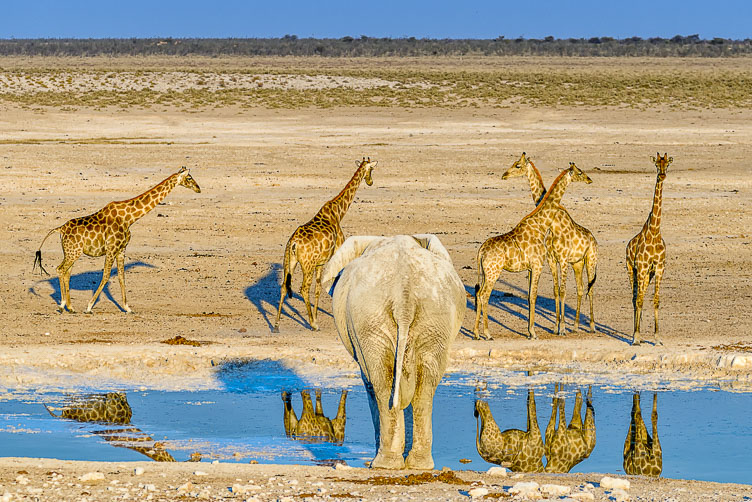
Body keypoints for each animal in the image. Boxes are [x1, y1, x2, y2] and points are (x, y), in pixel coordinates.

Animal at [33, 167, 201, 314]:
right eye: (189, 178)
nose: (198, 188)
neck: (129, 218)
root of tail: (60, 229)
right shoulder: (112, 248)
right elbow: (106, 276)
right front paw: (89, 307)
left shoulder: (121, 249)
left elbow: (121, 277)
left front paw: (127, 308)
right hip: (73, 252)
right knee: (60, 270)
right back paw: (62, 306)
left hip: (72, 252)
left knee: (66, 273)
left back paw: (70, 307)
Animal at [272, 158, 376, 332]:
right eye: (371, 170)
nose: (370, 181)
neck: (339, 212)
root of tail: (293, 244)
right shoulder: (339, 251)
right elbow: (335, 280)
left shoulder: (320, 263)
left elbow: (319, 288)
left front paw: (316, 316)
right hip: (306, 265)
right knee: (303, 288)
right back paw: (312, 325)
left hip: (289, 261)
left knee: (283, 287)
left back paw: (276, 325)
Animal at [321, 234, 466, 470]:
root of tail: (403, 295)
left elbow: (371, 383)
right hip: (433, 315)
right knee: (423, 386)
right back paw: (418, 465)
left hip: (371, 317)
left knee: (381, 382)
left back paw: (382, 464)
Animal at [473, 163, 592, 340]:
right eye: (579, 172)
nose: (589, 179)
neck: (541, 224)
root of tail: (481, 250)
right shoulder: (537, 265)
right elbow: (534, 295)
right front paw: (534, 332)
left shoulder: (530, 268)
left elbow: (530, 296)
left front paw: (530, 331)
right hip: (493, 272)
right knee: (483, 295)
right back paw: (487, 333)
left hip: (486, 272)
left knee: (479, 294)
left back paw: (476, 333)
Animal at [501, 153, 598, 335]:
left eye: (518, 165)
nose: (504, 175)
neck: (553, 224)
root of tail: (594, 239)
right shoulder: (553, 259)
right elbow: (555, 291)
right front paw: (556, 327)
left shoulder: (563, 259)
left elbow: (562, 291)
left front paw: (562, 328)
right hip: (577, 263)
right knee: (581, 288)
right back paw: (575, 326)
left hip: (591, 260)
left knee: (590, 289)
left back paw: (592, 326)